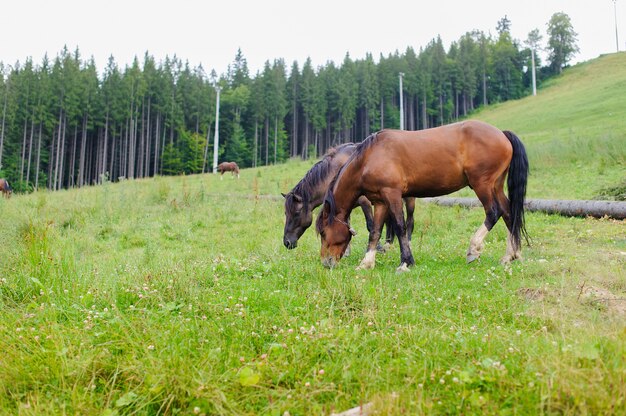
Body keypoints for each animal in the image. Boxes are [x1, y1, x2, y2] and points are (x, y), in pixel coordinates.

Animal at [282, 145, 414, 250]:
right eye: (285, 213)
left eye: (296, 213)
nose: (287, 242)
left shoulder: (365, 202)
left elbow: (370, 225)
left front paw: (377, 247)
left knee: (409, 221)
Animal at [312, 118, 528, 272]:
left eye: (323, 232)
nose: (326, 262)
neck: (368, 158)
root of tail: (502, 134)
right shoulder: (380, 201)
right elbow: (375, 231)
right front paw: (366, 263)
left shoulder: (392, 194)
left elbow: (400, 227)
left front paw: (405, 262)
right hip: (496, 186)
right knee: (509, 213)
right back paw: (511, 255)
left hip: (482, 185)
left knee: (494, 212)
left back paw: (474, 249)